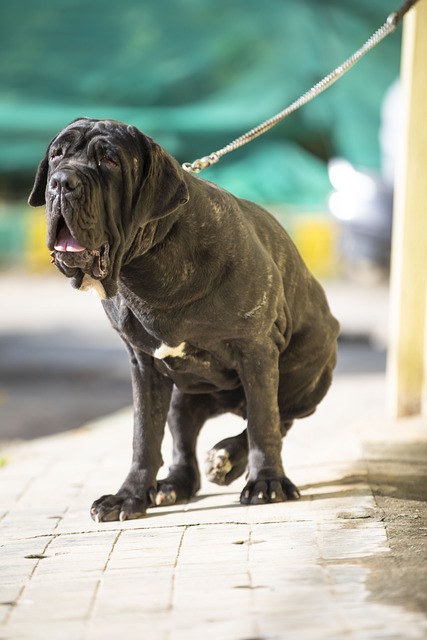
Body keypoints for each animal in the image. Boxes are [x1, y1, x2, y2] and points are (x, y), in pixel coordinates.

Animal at [28, 119, 340, 520]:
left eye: (109, 161)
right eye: (57, 155)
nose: (62, 182)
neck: (149, 265)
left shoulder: (256, 349)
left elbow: (264, 422)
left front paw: (267, 481)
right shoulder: (143, 364)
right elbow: (144, 435)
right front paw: (129, 496)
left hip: (305, 373)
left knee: (277, 414)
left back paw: (227, 458)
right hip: (183, 396)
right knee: (184, 444)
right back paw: (173, 485)